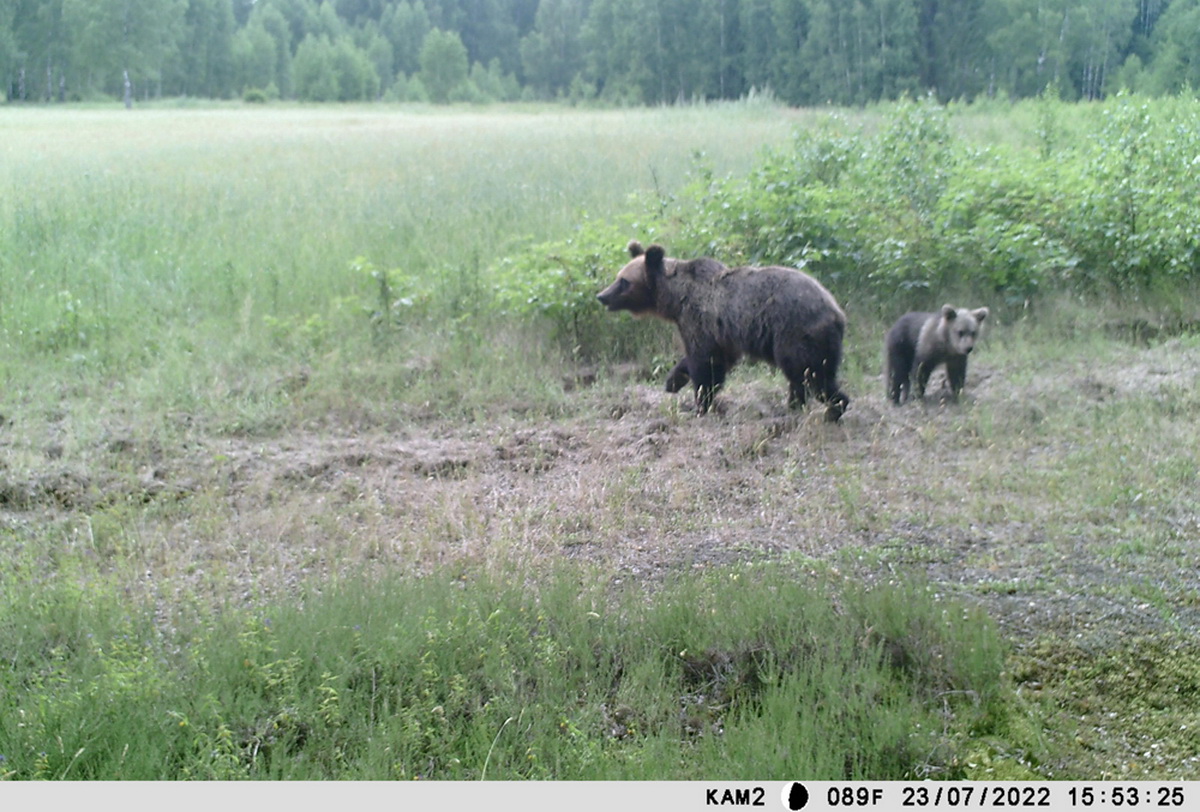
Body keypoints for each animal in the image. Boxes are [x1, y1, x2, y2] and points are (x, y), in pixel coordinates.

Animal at [595, 241, 849, 422]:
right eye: (618, 277)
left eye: (623, 281)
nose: (602, 296)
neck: (676, 300)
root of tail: (836, 312)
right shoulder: (722, 334)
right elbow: (713, 357)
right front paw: (673, 380)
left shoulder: (699, 319)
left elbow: (706, 364)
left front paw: (699, 404)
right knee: (806, 376)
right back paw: (796, 406)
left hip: (796, 332)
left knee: (810, 373)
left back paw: (833, 408)